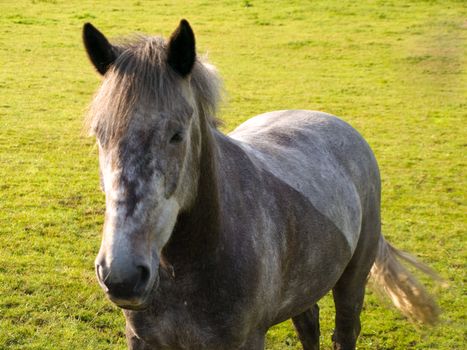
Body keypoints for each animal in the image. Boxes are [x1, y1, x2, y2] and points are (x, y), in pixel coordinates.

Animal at [81, 19, 442, 350]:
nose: (122, 275)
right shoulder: (142, 339)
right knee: (308, 325)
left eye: (176, 135)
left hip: (353, 279)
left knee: (345, 331)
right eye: (100, 134)